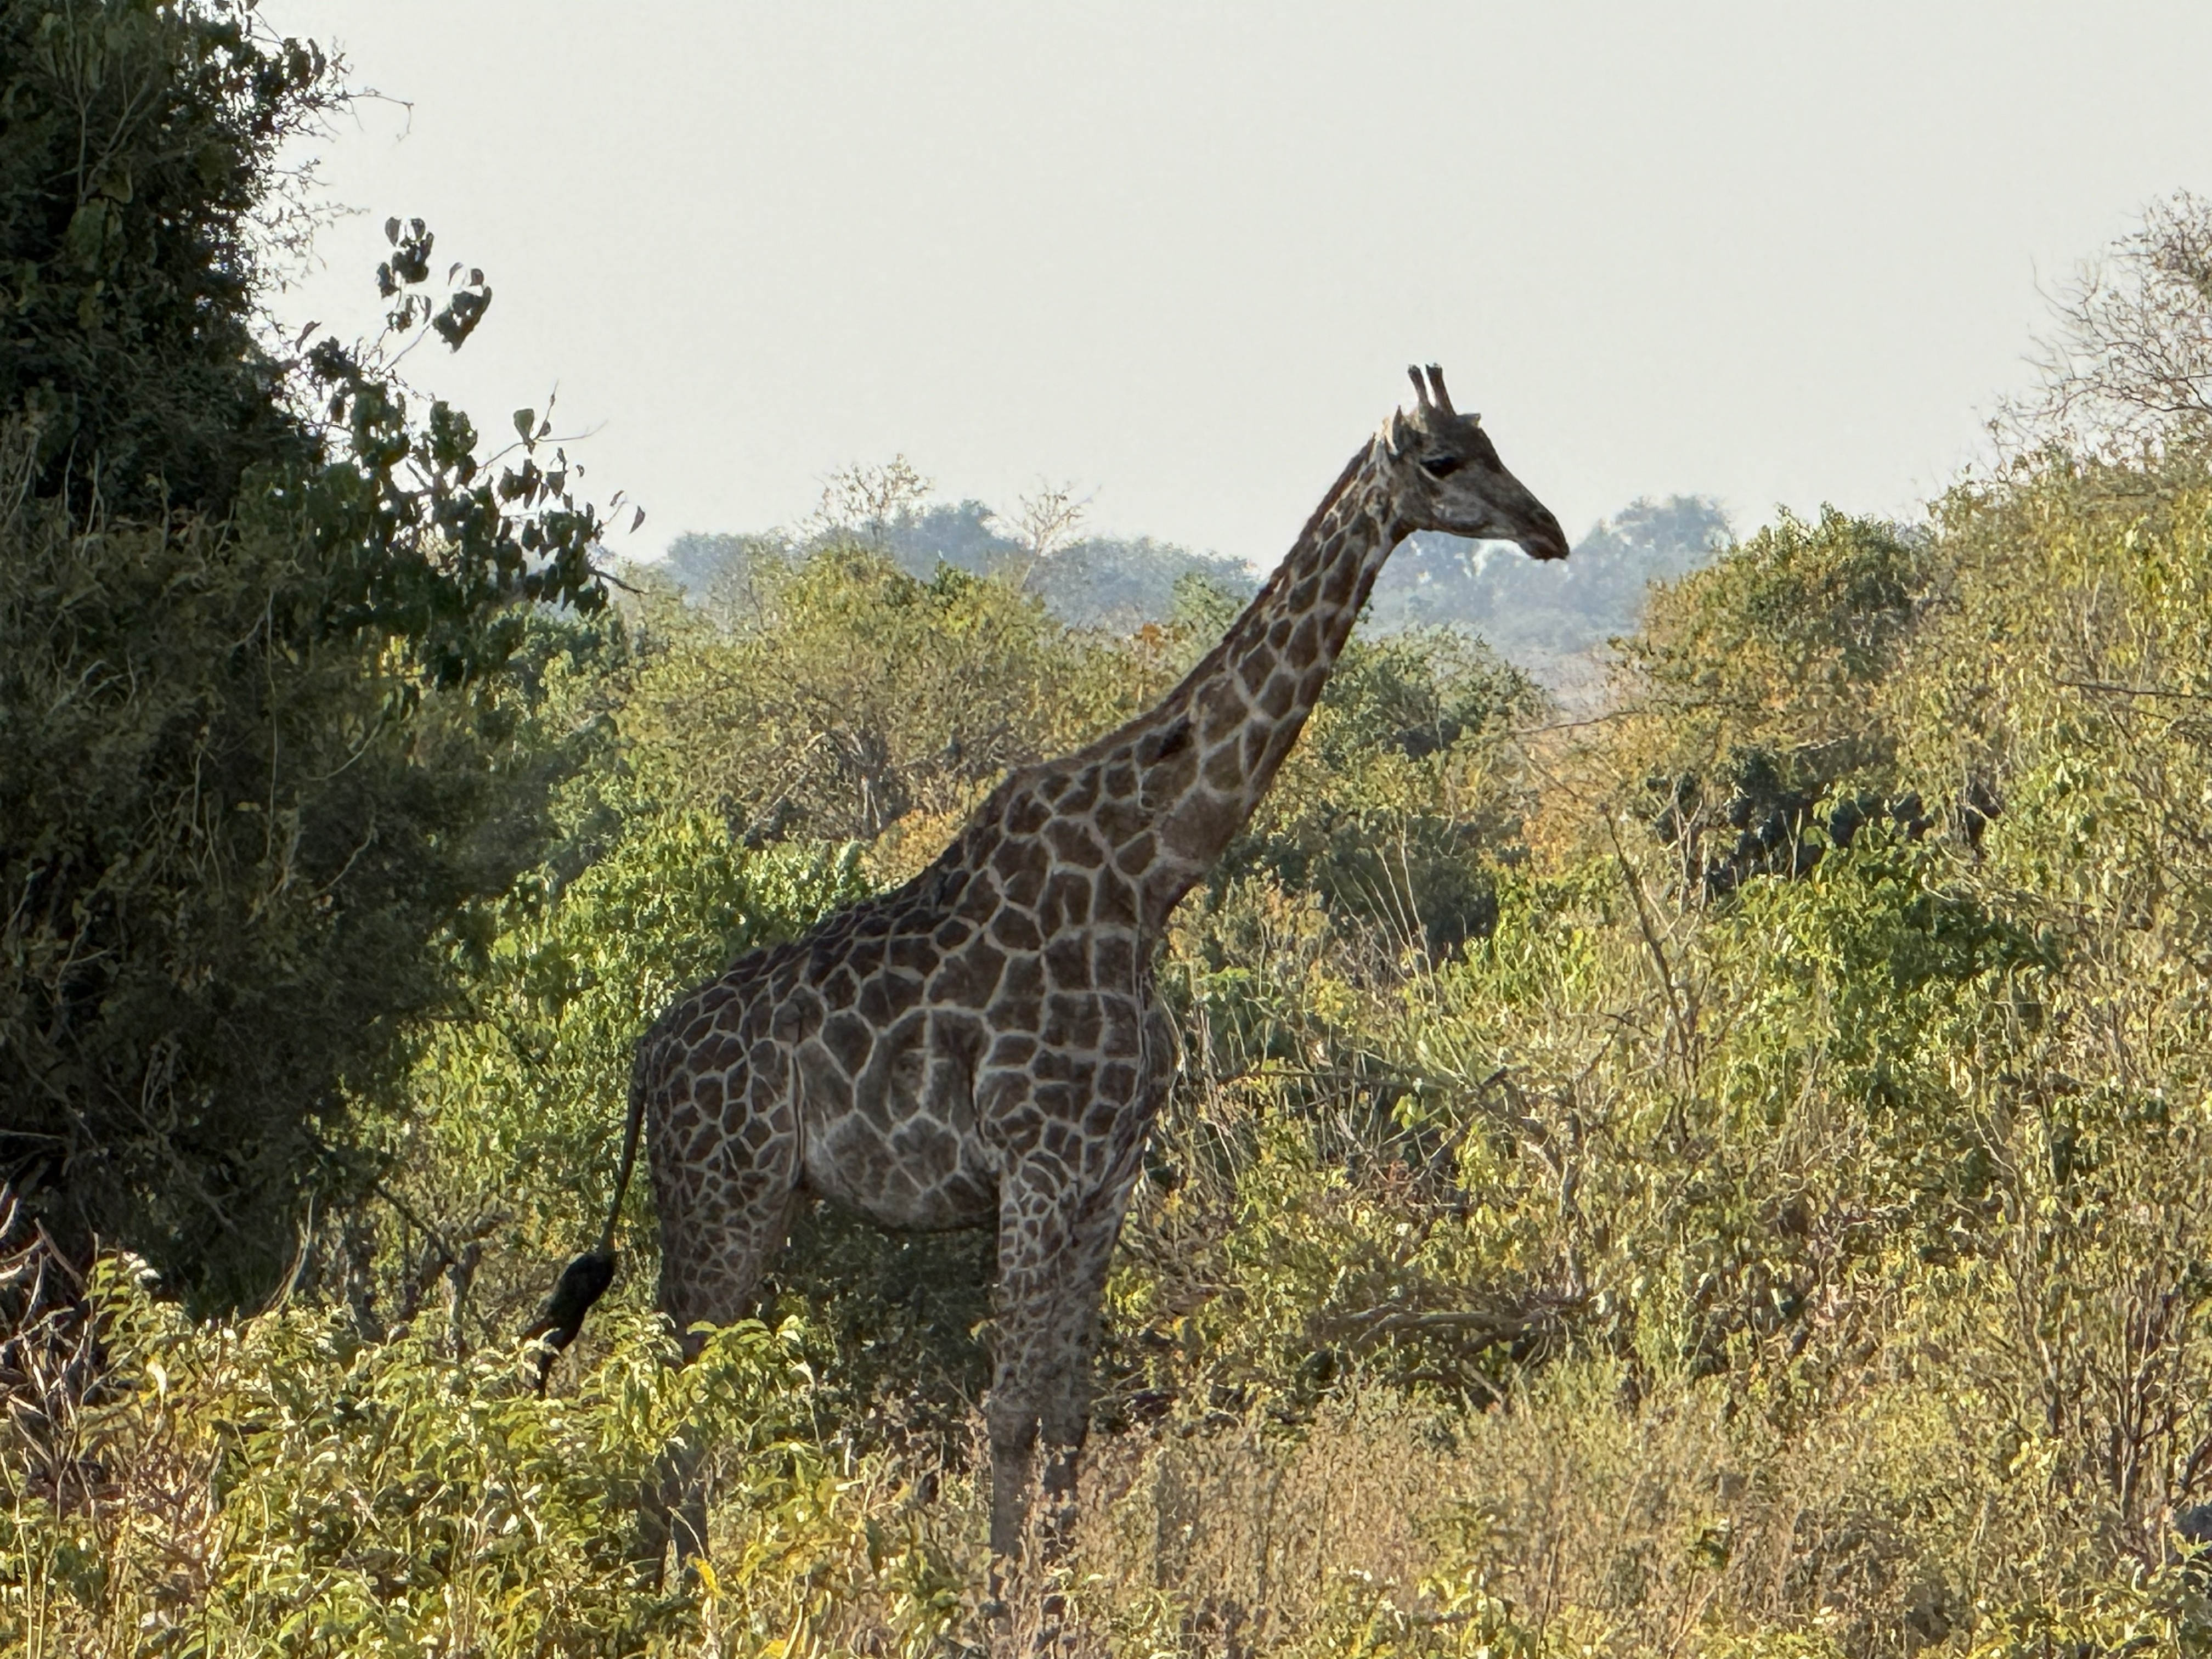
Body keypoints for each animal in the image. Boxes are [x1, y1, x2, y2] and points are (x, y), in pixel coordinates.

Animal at [543, 366, 1568, 1575]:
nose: (1547, 529)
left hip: (751, 1194)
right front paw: (999, 1596)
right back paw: (683, 1583)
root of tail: (645, 1059)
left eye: (1496, 444)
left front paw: (1062, 1591)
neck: (1149, 872)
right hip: (723, 1190)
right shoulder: (1036, 1164)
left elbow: (1069, 1406)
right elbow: (1010, 1408)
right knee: (667, 1387)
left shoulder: (1107, 1171)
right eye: (1445, 462)